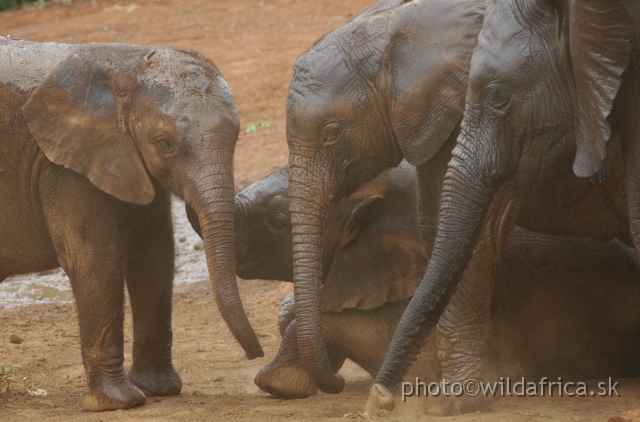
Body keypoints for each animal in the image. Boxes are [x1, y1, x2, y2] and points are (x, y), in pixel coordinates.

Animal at [0, 37, 262, 412]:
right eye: (165, 145)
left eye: (237, 139)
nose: (258, 356)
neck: (125, 64)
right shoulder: (66, 165)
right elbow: (97, 258)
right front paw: (117, 403)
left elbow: (153, 254)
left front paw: (160, 389)